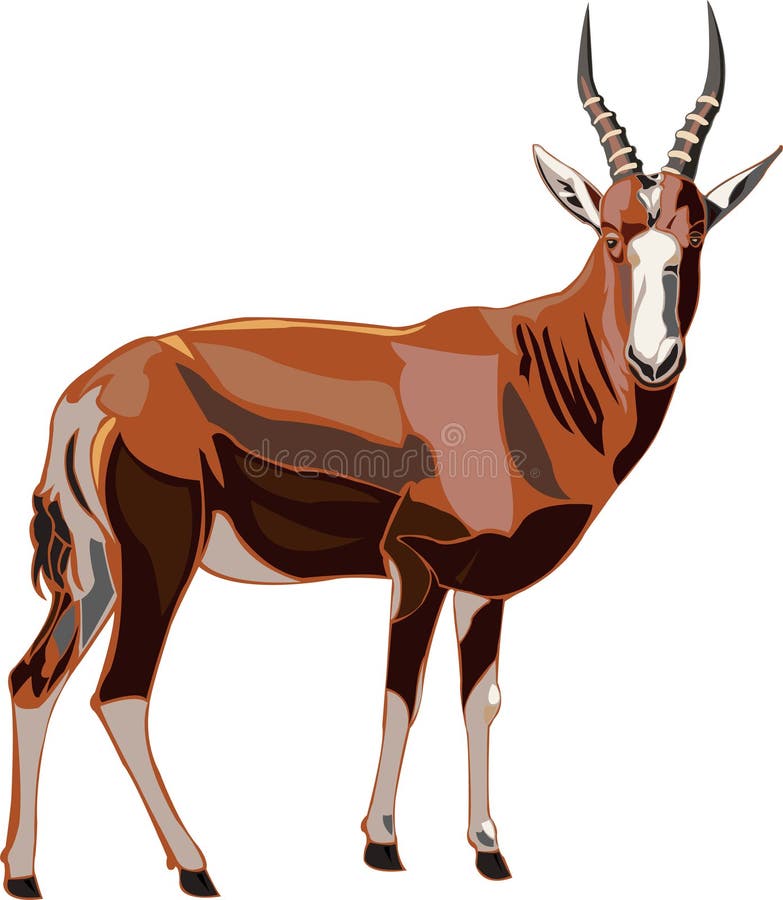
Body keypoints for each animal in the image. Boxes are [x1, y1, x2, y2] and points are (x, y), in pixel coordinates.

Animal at [3, 5, 780, 898]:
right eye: (612, 237)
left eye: (695, 234)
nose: (655, 359)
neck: (529, 367)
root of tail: (86, 394)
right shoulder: (414, 564)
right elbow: (399, 692)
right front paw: (381, 844)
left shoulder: (485, 585)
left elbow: (481, 699)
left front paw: (488, 849)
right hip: (158, 559)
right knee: (121, 693)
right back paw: (197, 866)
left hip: (95, 574)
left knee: (34, 681)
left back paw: (25, 874)